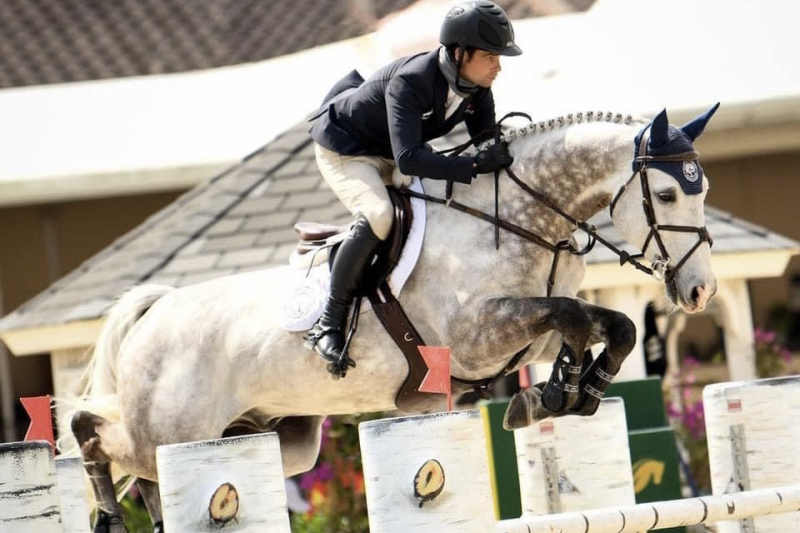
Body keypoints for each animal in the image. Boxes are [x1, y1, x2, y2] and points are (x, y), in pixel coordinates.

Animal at [70, 103, 720, 528]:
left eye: (704, 191)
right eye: (666, 196)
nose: (700, 292)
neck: (517, 220)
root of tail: (156, 309)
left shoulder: (519, 339)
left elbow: (605, 325)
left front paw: (561, 394)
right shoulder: (477, 335)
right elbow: (572, 316)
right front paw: (558, 392)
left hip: (266, 439)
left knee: (149, 475)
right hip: (172, 431)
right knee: (95, 433)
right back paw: (106, 512)